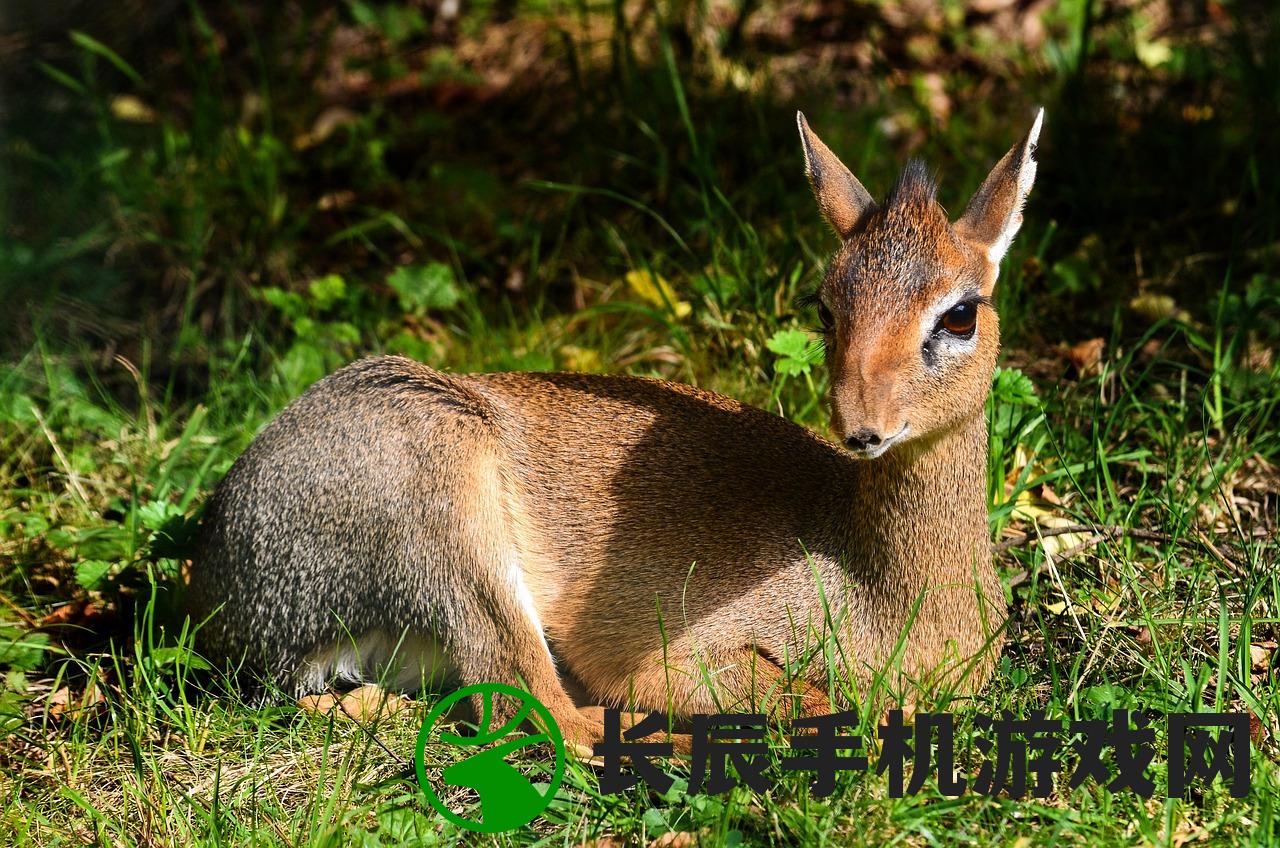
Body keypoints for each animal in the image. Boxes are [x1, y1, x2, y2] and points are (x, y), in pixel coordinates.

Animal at [192, 106, 1049, 753]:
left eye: (961, 312)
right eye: (824, 304)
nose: (862, 427)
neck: (893, 600)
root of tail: (229, 583)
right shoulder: (682, 656)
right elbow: (813, 699)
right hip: (453, 523)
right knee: (540, 712)